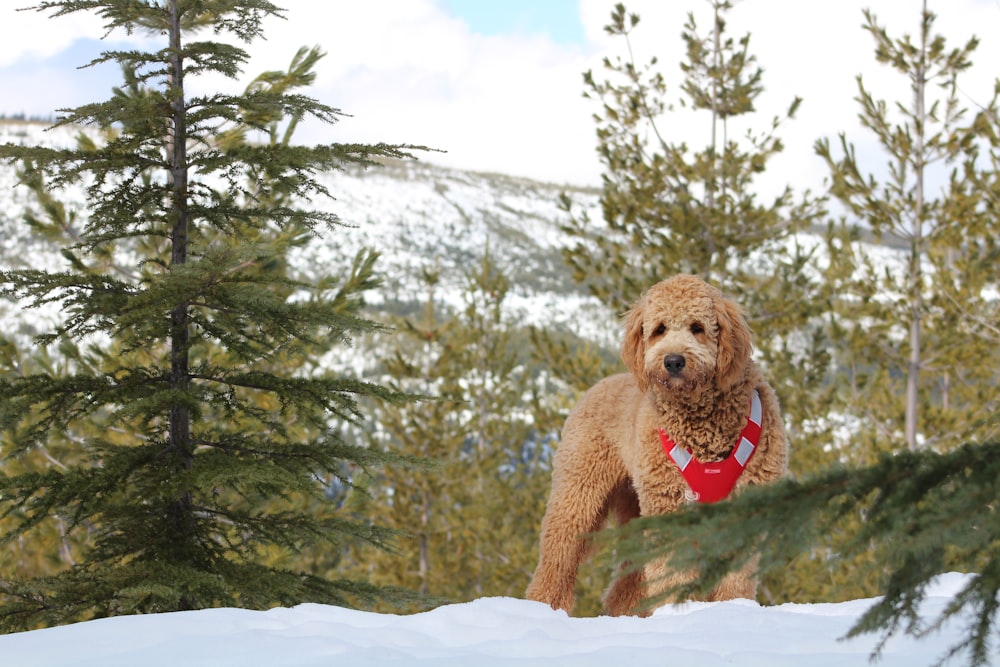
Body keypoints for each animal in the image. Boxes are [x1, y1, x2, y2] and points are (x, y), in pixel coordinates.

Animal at [524, 276, 788, 616]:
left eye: (697, 327)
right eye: (659, 329)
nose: (673, 360)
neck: (703, 426)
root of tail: (597, 385)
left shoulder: (744, 506)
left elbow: (735, 578)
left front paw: (731, 610)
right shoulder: (668, 504)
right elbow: (671, 571)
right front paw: (676, 612)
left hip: (635, 506)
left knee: (626, 585)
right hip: (580, 493)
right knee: (559, 556)